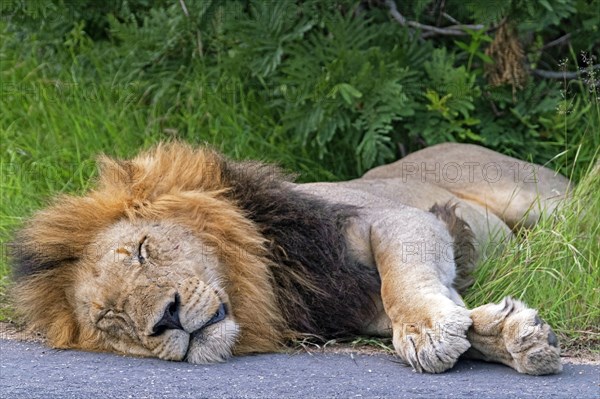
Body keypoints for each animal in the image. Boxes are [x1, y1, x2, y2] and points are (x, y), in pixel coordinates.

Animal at [11, 143, 568, 376]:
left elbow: (402, 282)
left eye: (144, 250)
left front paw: (428, 333)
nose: (166, 318)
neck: (270, 275)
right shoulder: (356, 307)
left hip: (536, 198)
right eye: (110, 318)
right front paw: (514, 336)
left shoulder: (395, 218)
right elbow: (444, 314)